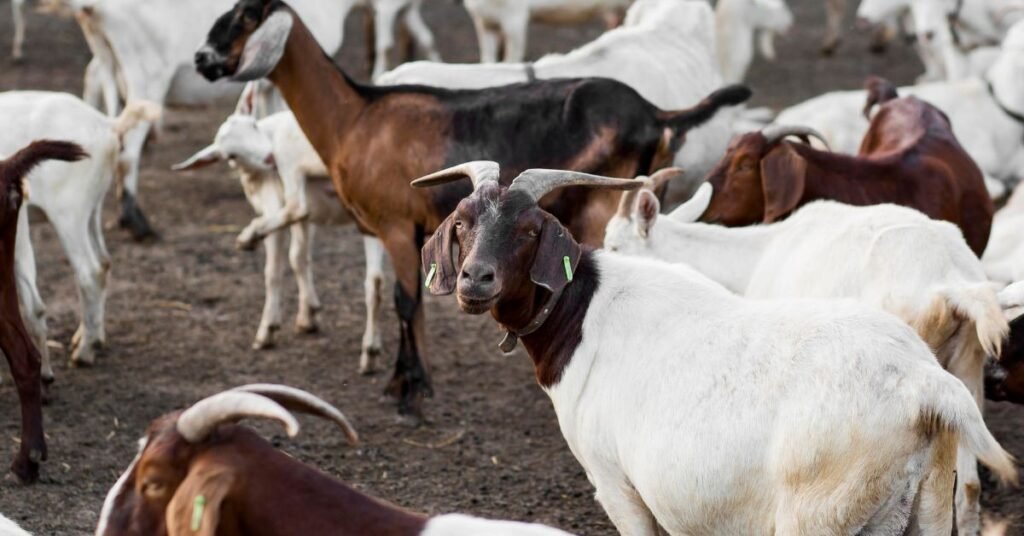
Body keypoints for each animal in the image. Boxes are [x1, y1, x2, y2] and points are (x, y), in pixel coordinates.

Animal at [0, 92, 159, 375]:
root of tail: (108, 125)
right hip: (92, 208)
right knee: (104, 263)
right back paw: (91, 338)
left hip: (68, 213)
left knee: (89, 272)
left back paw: (84, 352)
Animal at [173, 97, 387, 373]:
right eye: (230, 155)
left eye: (253, 125)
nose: (268, 157)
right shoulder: (307, 220)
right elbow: (299, 258)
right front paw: (308, 316)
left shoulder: (273, 200)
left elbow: (273, 270)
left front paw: (268, 330)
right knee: (376, 281)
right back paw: (370, 352)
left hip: (291, 157)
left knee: (297, 205)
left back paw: (248, 236)